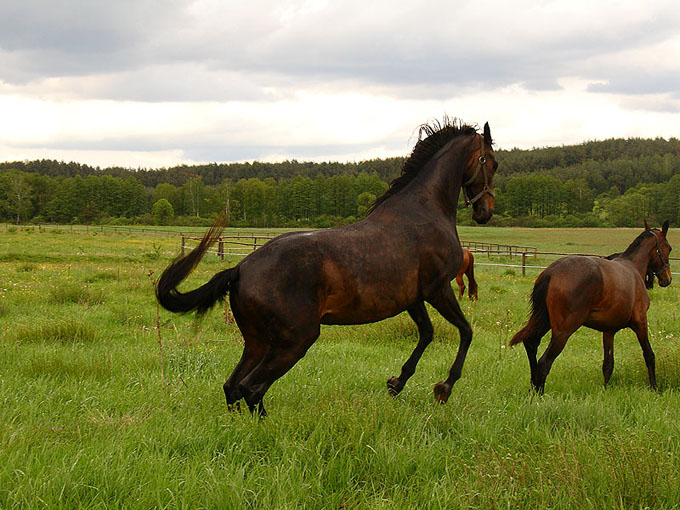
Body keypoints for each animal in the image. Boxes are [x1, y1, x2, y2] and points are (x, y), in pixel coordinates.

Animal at [159, 119, 500, 414]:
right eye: (493, 163)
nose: (485, 212)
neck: (425, 210)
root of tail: (240, 269)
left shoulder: (413, 297)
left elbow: (427, 334)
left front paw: (396, 383)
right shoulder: (438, 289)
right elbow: (466, 332)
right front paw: (444, 388)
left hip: (257, 342)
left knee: (233, 387)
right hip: (295, 340)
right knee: (251, 388)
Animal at [510, 221, 668, 392]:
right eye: (669, 248)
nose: (667, 279)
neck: (633, 268)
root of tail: (551, 271)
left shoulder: (609, 330)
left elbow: (608, 364)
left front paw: (605, 390)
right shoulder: (640, 323)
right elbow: (649, 355)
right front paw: (654, 387)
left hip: (545, 321)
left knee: (531, 344)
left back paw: (533, 388)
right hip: (563, 331)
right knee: (544, 362)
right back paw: (539, 393)